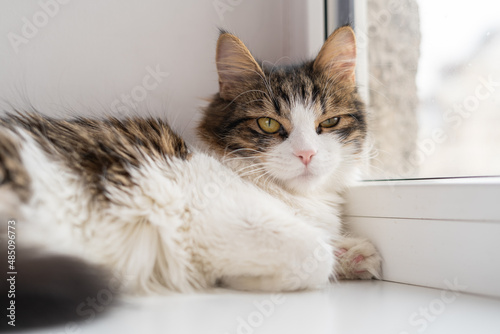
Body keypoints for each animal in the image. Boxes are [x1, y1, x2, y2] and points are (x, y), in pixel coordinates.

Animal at [0, 26, 380, 328]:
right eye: (269, 124)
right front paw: (241, 279)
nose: (306, 154)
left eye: (329, 122)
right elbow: (316, 255)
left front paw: (355, 253)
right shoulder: (216, 218)